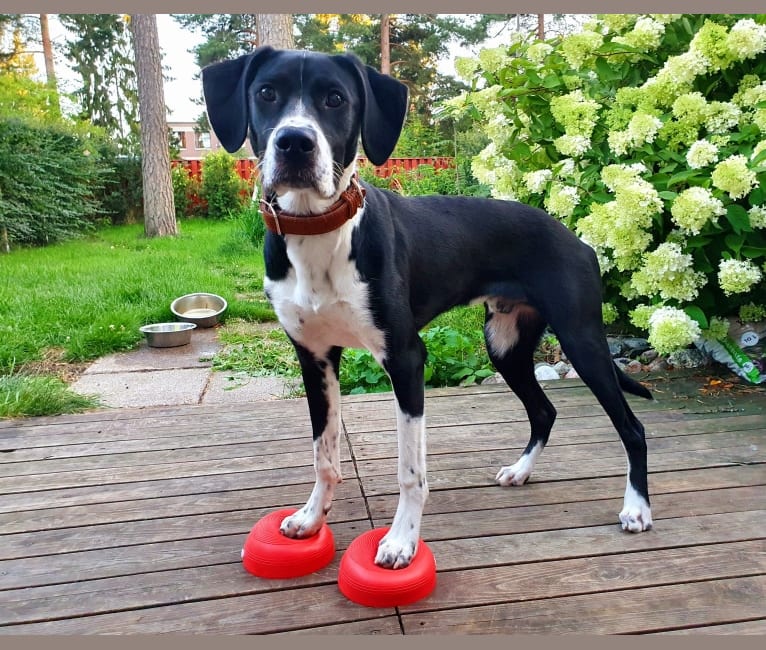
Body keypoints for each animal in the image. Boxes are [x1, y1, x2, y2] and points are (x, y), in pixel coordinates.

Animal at [202, 48, 656, 568]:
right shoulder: (314, 358)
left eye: (335, 99)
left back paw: (637, 509)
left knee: (632, 427)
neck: (320, 233)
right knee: (544, 411)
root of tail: (576, 238)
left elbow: (410, 471)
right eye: (266, 93)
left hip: (582, 340)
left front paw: (402, 540)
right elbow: (324, 453)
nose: (295, 142)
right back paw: (520, 471)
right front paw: (312, 518)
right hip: (505, 345)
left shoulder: (405, 359)